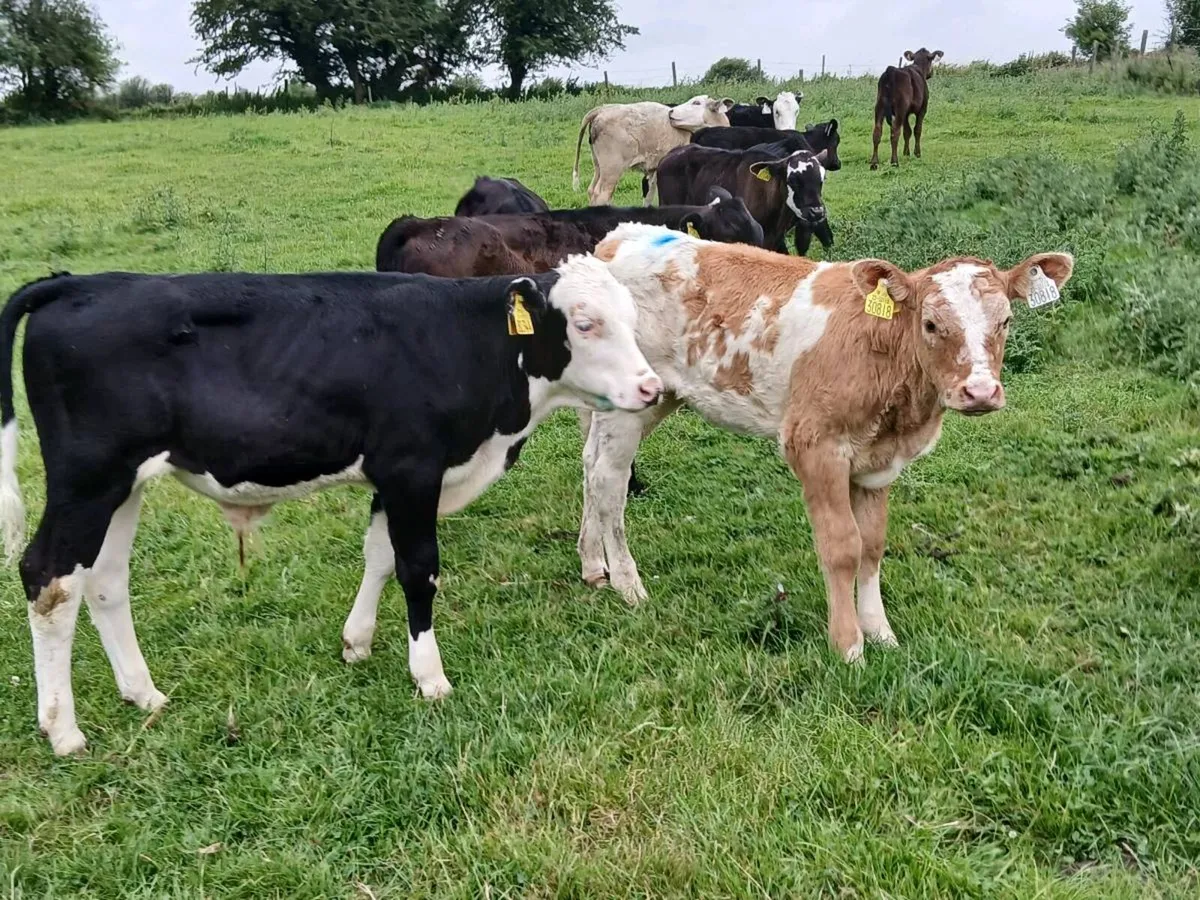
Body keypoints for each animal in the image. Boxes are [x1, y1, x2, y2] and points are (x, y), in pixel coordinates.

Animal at [0, 262, 663, 756]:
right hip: (87, 479)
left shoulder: (391, 477)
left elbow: (379, 556)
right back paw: (63, 729)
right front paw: (429, 676)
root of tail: (76, 283)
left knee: (104, 580)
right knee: (49, 579)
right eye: (585, 323)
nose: (651, 386)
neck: (465, 344)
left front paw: (357, 643)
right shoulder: (412, 468)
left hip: (124, 484)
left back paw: (144, 694)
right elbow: (418, 569)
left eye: (634, 320)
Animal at [572, 95, 734, 206]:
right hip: (612, 168)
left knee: (592, 190)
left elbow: (649, 195)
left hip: (599, 166)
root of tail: (603, 109)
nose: (671, 111)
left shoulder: (654, 169)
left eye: (696, 103)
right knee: (602, 195)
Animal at [577, 224, 1074, 663]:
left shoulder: (878, 462)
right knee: (609, 481)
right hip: (630, 403)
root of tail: (615, 239)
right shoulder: (814, 446)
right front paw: (849, 645)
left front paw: (881, 632)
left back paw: (593, 566)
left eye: (1005, 321)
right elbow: (841, 546)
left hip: (649, 398)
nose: (980, 392)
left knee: (589, 464)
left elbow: (871, 544)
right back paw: (629, 585)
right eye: (932, 325)